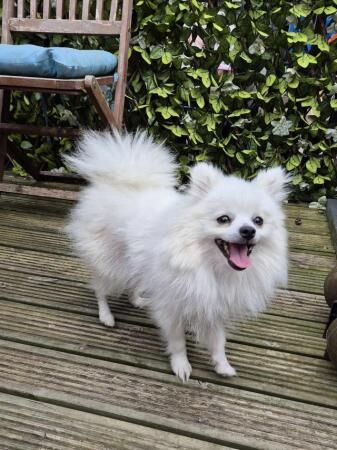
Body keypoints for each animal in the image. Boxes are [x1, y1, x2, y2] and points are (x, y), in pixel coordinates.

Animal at [64, 129, 288, 380]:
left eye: (258, 221)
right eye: (223, 219)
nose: (248, 231)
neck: (209, 265)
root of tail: (119, 180)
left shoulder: (214, 305)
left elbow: (218, 341)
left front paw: (222, 365)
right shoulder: (172, 306)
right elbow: (178, 340)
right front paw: (181, 365)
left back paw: (137, 300)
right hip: (111, 263)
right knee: (100, 290)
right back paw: (106, 316)